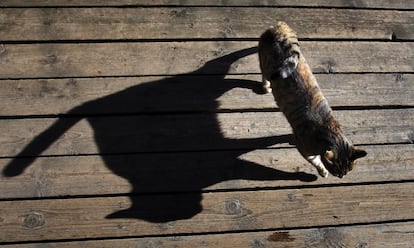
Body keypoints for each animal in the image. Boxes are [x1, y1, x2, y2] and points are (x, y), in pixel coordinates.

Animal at [258, 20, 368, 176]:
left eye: (347, 171)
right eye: (337, 172)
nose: (341, 177)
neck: (331, 132)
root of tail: (281, 31)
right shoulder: (304, 148)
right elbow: (315, 161)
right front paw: (322, 171)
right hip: (265, 63)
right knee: (264, 74)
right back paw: (265, 86)